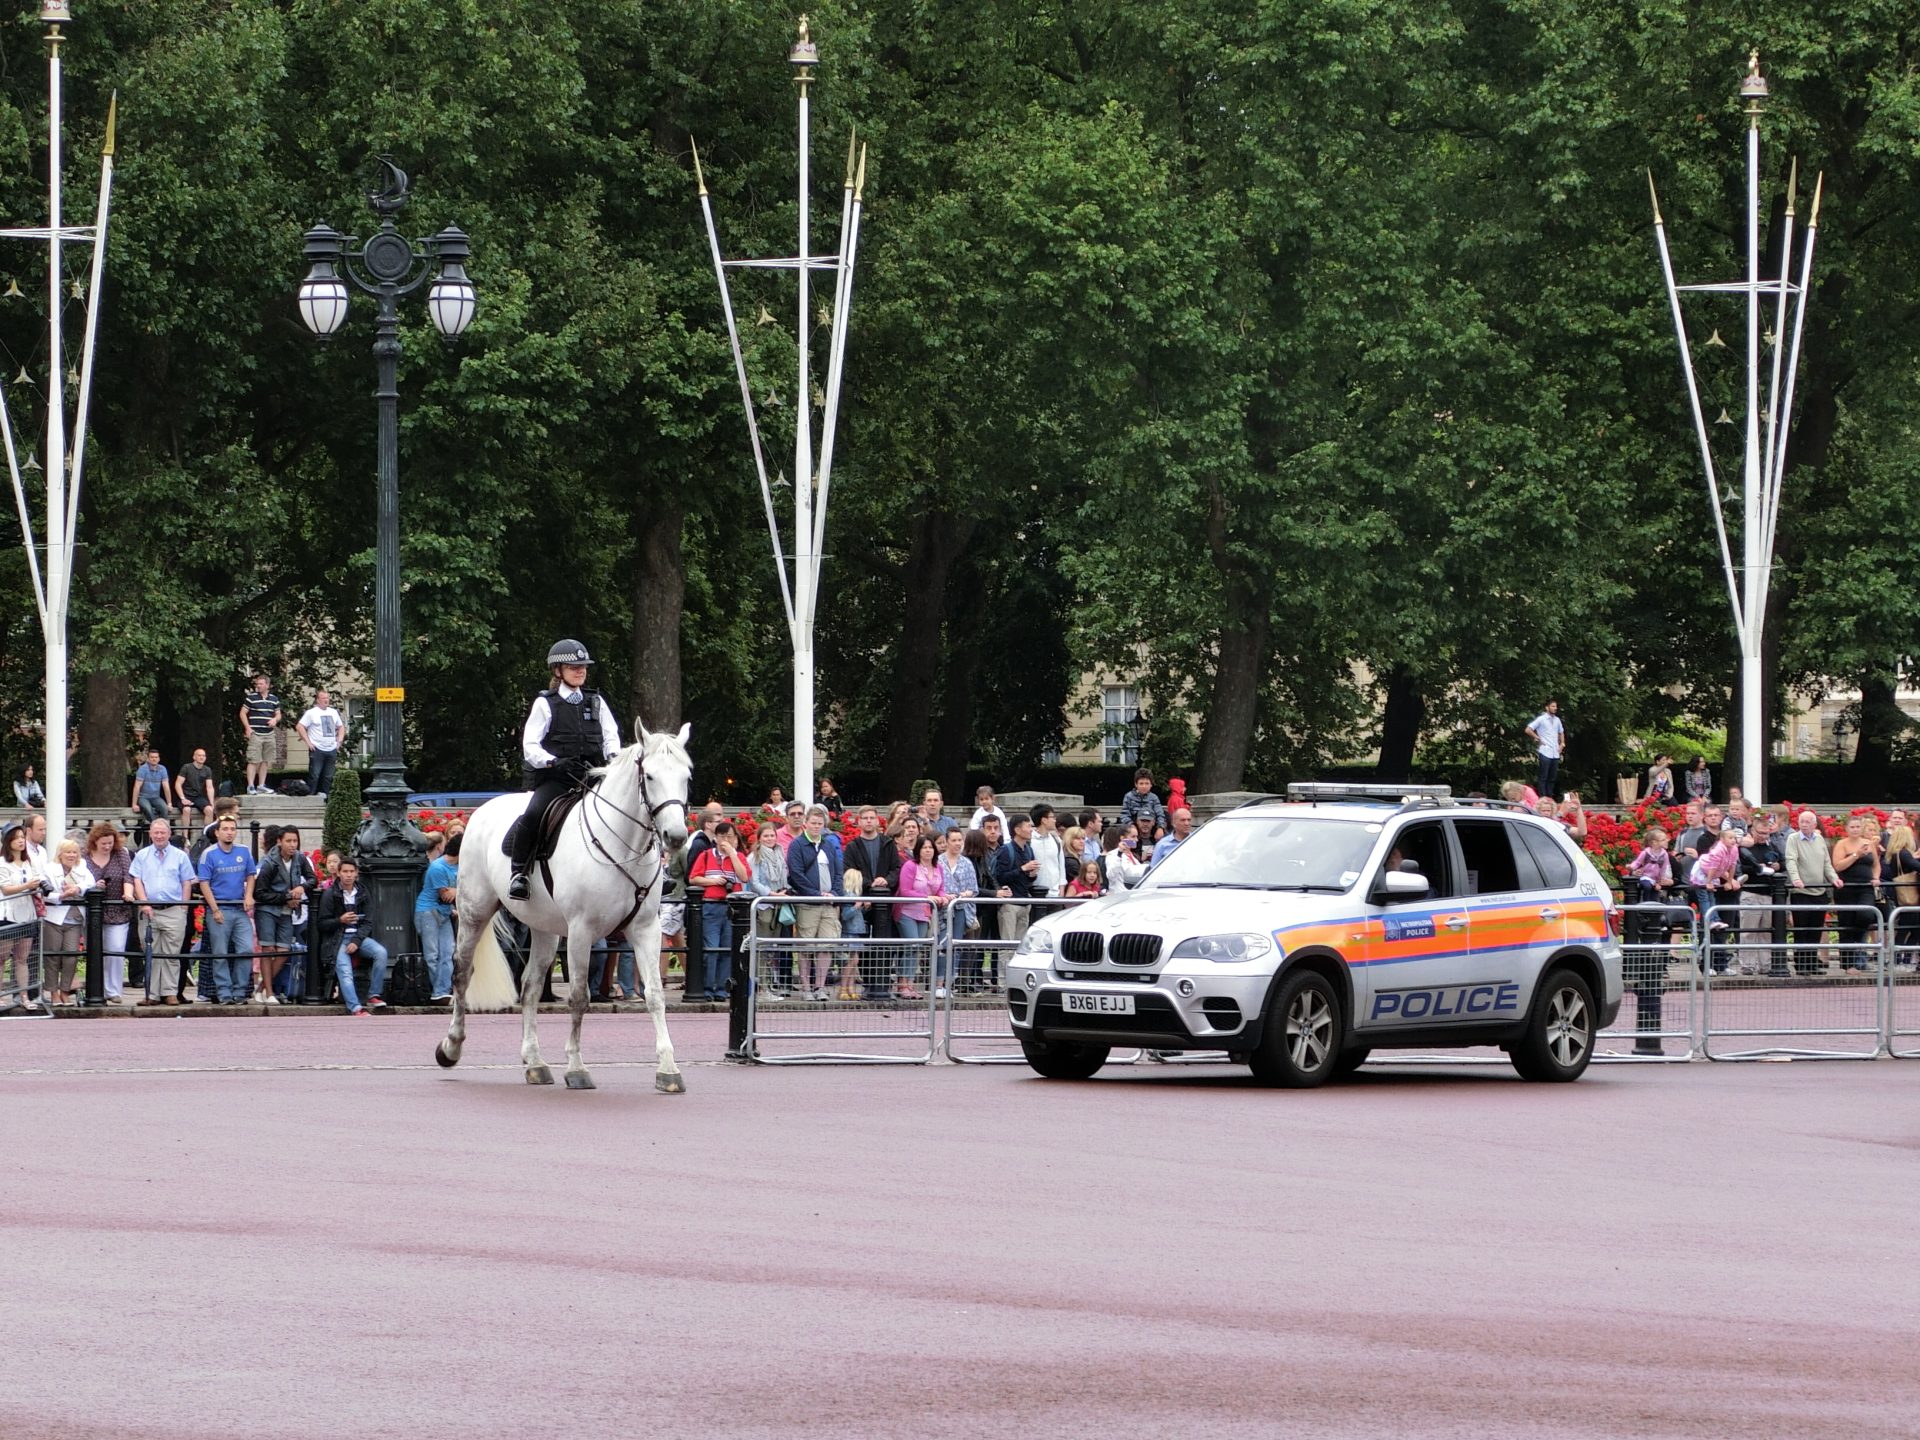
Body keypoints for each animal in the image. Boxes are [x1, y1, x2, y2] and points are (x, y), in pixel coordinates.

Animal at [439, 721, 695, 1090]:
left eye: (686, 776)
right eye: (649, 776)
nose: (675, 837)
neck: (621, 846)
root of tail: (483, 810)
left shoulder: (646, 930)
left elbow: (656, 995)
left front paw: (668, 1069)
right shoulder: (581, 932)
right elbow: (578, 996)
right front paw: (576, 1067)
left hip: (544, 929)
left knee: (530, 987)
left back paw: (534, 1061)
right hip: (475, 912)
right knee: (462, 974)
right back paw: (451, 1046)